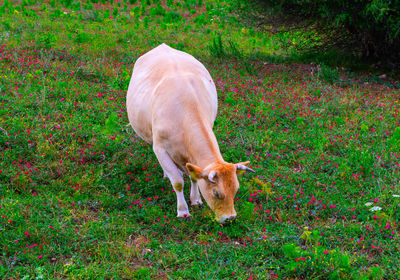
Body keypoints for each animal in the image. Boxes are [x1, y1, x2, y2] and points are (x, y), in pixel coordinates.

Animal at [126, 43, 255, 223]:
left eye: (236, 190)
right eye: (216, 193)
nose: (229, 218)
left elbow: (194, 176)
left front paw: (195, 200)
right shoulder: (160, 148)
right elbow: (178, 182)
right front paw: (183, 210)